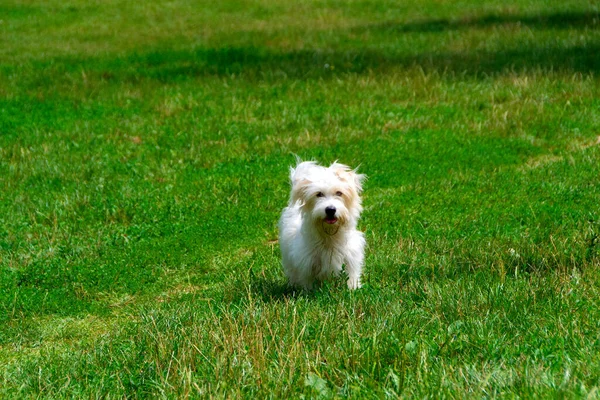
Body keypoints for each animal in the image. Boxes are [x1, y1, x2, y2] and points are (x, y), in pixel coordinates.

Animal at [278, 160, 366, 290]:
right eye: (318, 194)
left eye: (339, 193)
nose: (330, 210)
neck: (329, 235)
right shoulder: (306, 263)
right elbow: (307, 281)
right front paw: (308, 291)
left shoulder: (351, 258)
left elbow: (351, 275)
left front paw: (352, 288)